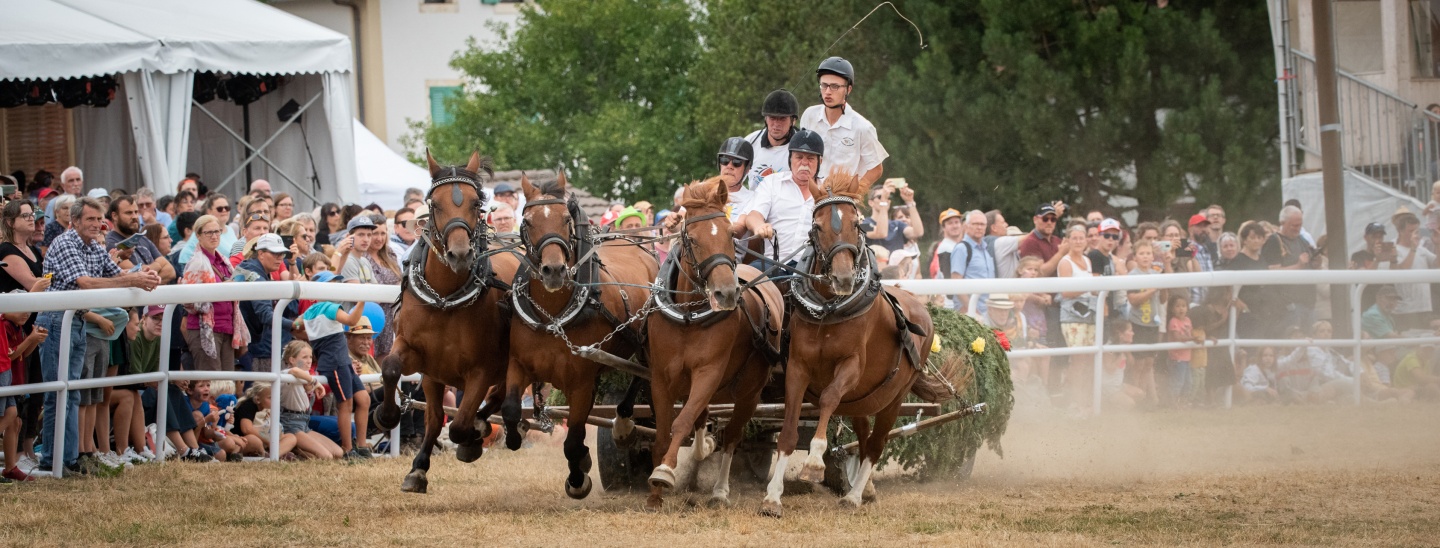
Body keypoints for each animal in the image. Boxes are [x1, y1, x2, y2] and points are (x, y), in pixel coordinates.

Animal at [374, 151, 521, 491]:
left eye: (476, 203)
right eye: (435, 204)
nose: (460, 254)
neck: (444, 299)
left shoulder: (480, 370)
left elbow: (458, 424)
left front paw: (472, 438)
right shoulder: (424, 362)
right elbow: (393, 371)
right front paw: (389, 421)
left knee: (500, 397)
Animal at [501, 171, 659, 500]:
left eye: (565, 219)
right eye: (528, 221)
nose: (554, 270)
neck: (554, 315)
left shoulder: (582, 382)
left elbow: (573, 438)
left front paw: (578, 476)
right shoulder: (519, 365)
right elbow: (509, 409)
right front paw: (515, 432)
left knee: (644, 375)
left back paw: (625, 423)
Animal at [645, 176, 783, 509]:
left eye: (731, 234)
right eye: (692, 239)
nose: (727, 293)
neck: (688, 317)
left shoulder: (708, 372)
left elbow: (682, 423)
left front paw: (664, 472)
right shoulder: (661, 377)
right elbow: (665, 432)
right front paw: (654, 495)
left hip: (749, 392)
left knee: (732, 435)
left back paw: (720, 491)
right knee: (706, 418)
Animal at [754, 169, 956, 514]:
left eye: (857, 224)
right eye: (818, 226)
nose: (844, 278)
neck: (828, 311)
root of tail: (920, 307)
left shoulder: (850, 366)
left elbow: (828, 398)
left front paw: (815, 463)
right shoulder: (797, 367)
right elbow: (788, 431)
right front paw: (772, 497)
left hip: (893, 397)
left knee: (875, 444)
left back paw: (854, 495)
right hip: (864, 397)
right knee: (863, 438)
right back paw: (866, 488)